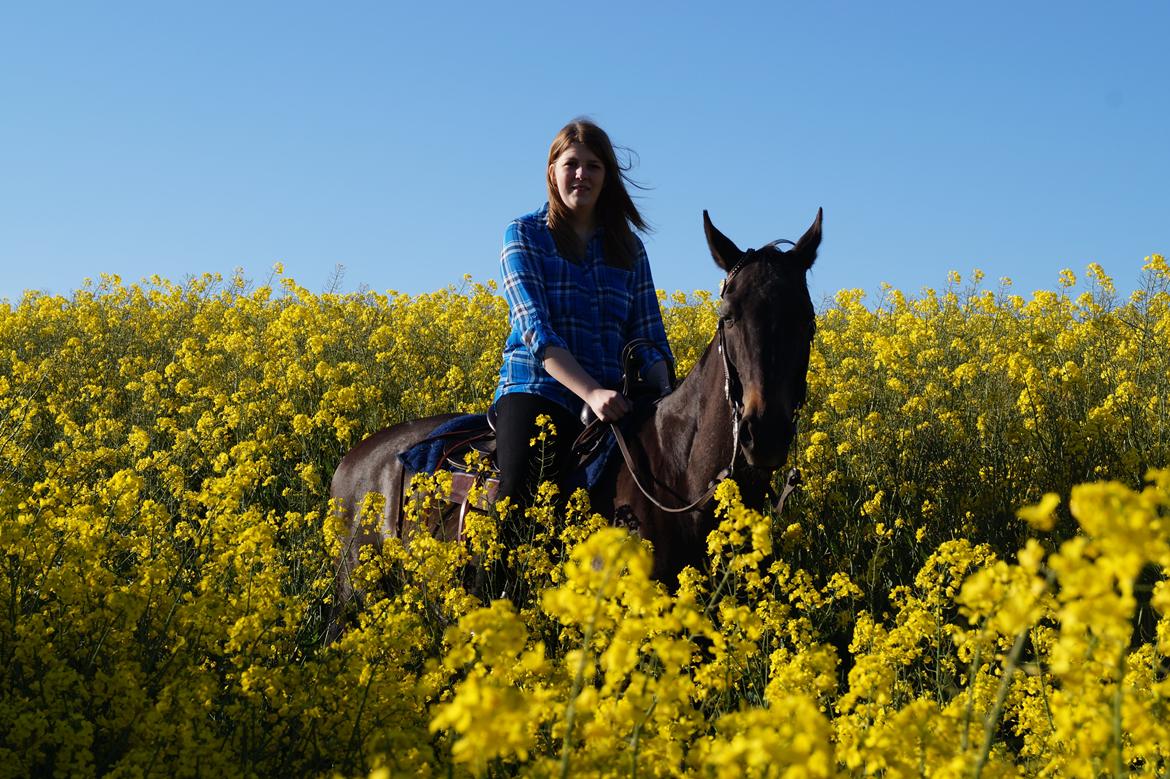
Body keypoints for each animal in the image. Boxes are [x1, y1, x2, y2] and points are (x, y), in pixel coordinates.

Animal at [327, 208, 823, 617]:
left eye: (808, 318)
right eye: (728, 315)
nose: (765, 433)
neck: (679, 474)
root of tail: (353, 459)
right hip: (355, 590)